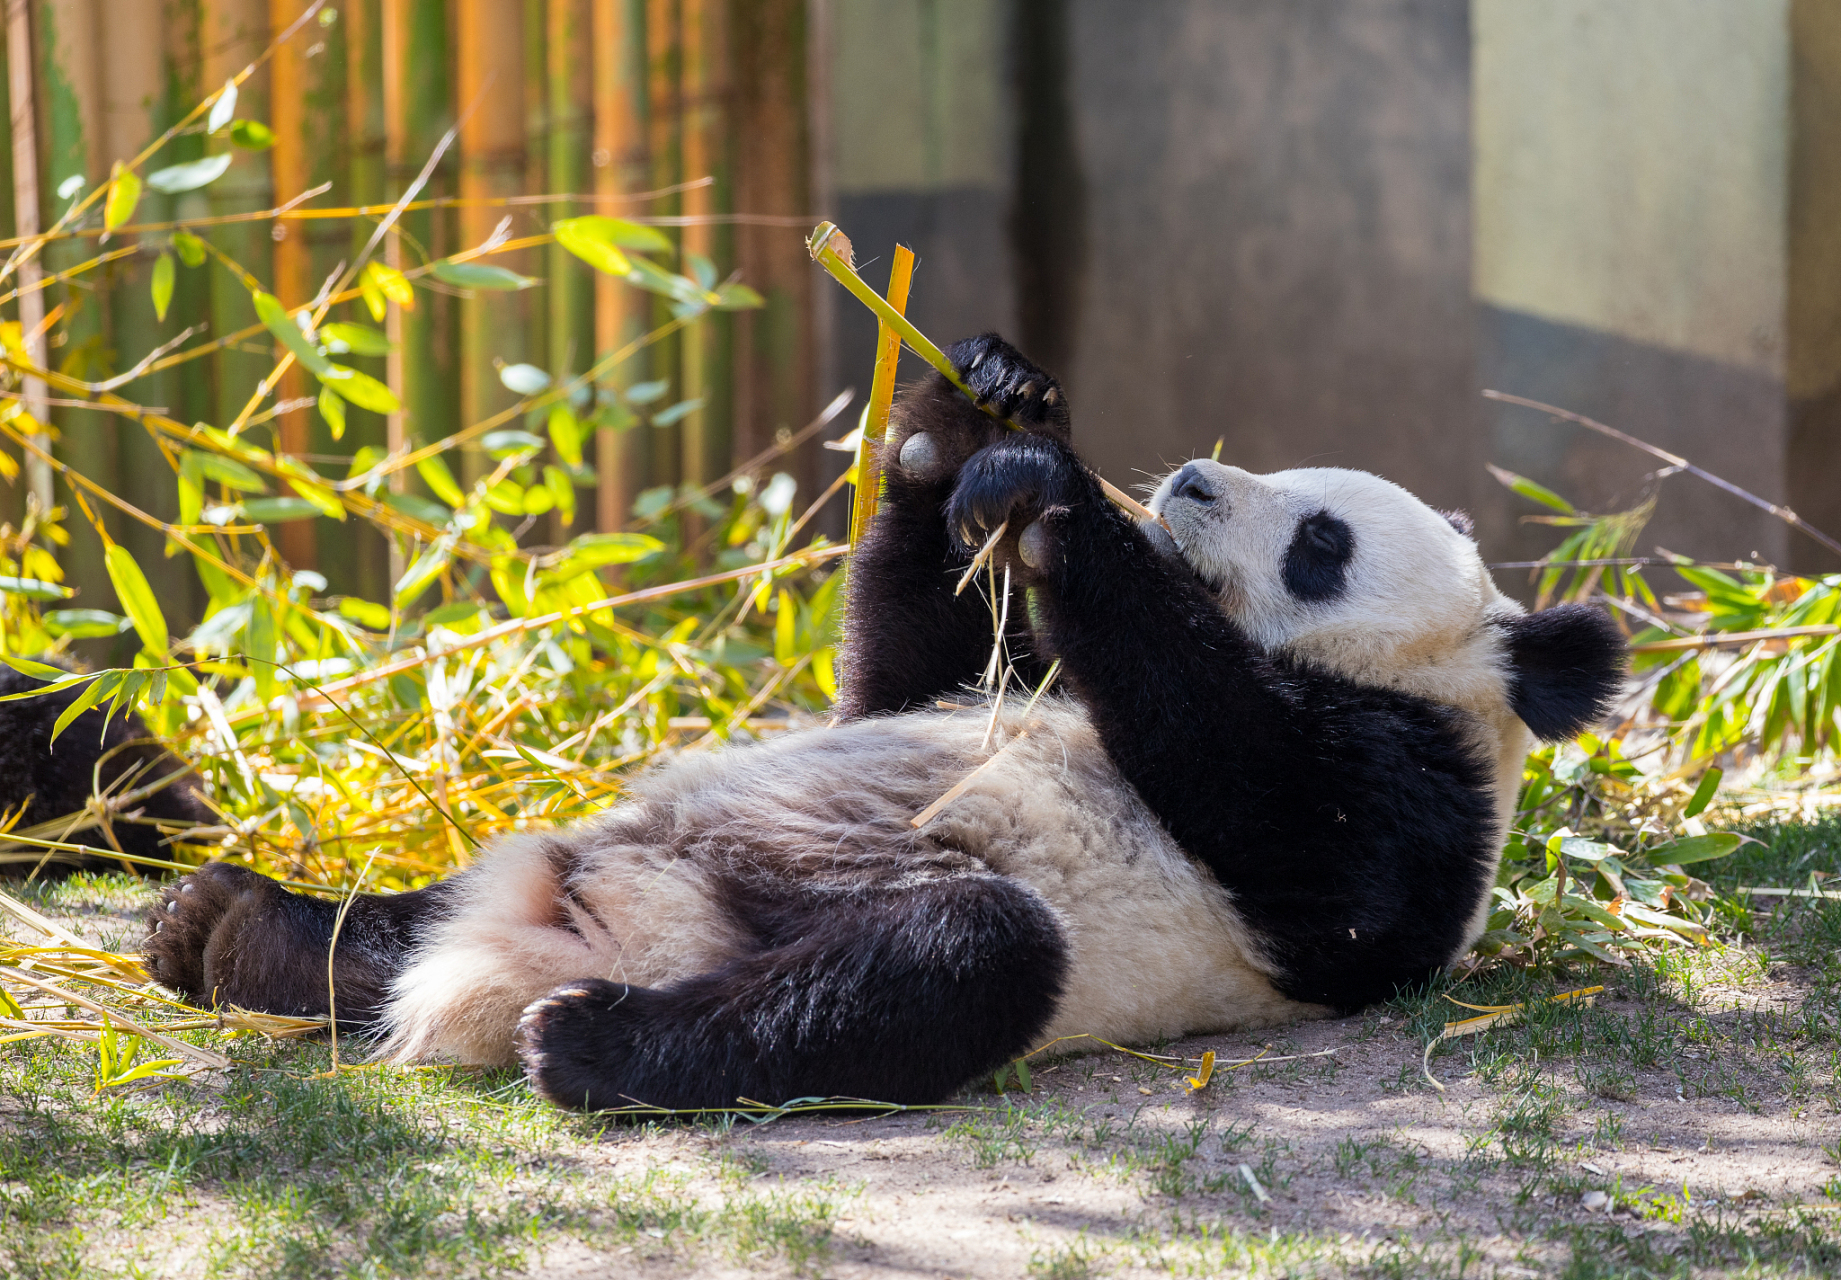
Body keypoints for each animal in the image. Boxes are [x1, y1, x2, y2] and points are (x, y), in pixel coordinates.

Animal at [136, 338, 1627, 1112]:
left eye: (1321, 539)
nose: (1192, 483)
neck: (1422, 684)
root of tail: (604, 934)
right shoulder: (980, 681)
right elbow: (909, 678)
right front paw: (971, 413)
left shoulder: (1400, 801)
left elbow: (1251, 779)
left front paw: (1051, 495)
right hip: (576, 850)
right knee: (406, 916)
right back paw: (232, 931)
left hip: (875, 927)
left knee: (944, 963)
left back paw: (592, 1042)